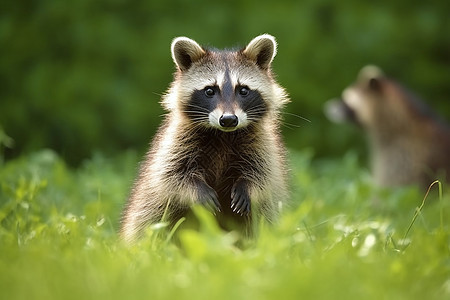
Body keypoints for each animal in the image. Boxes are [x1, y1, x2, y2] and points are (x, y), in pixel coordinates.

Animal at [119, 34, 290, 244]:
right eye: (210, 91)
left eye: (243, 90)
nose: (228, 120)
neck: (224, 134)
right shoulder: (177, 139)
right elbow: (171, 174)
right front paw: (198, 190)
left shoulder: (262, 141)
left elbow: (264, 173)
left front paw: (247, 187)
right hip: (147, 201)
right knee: (150, 217)